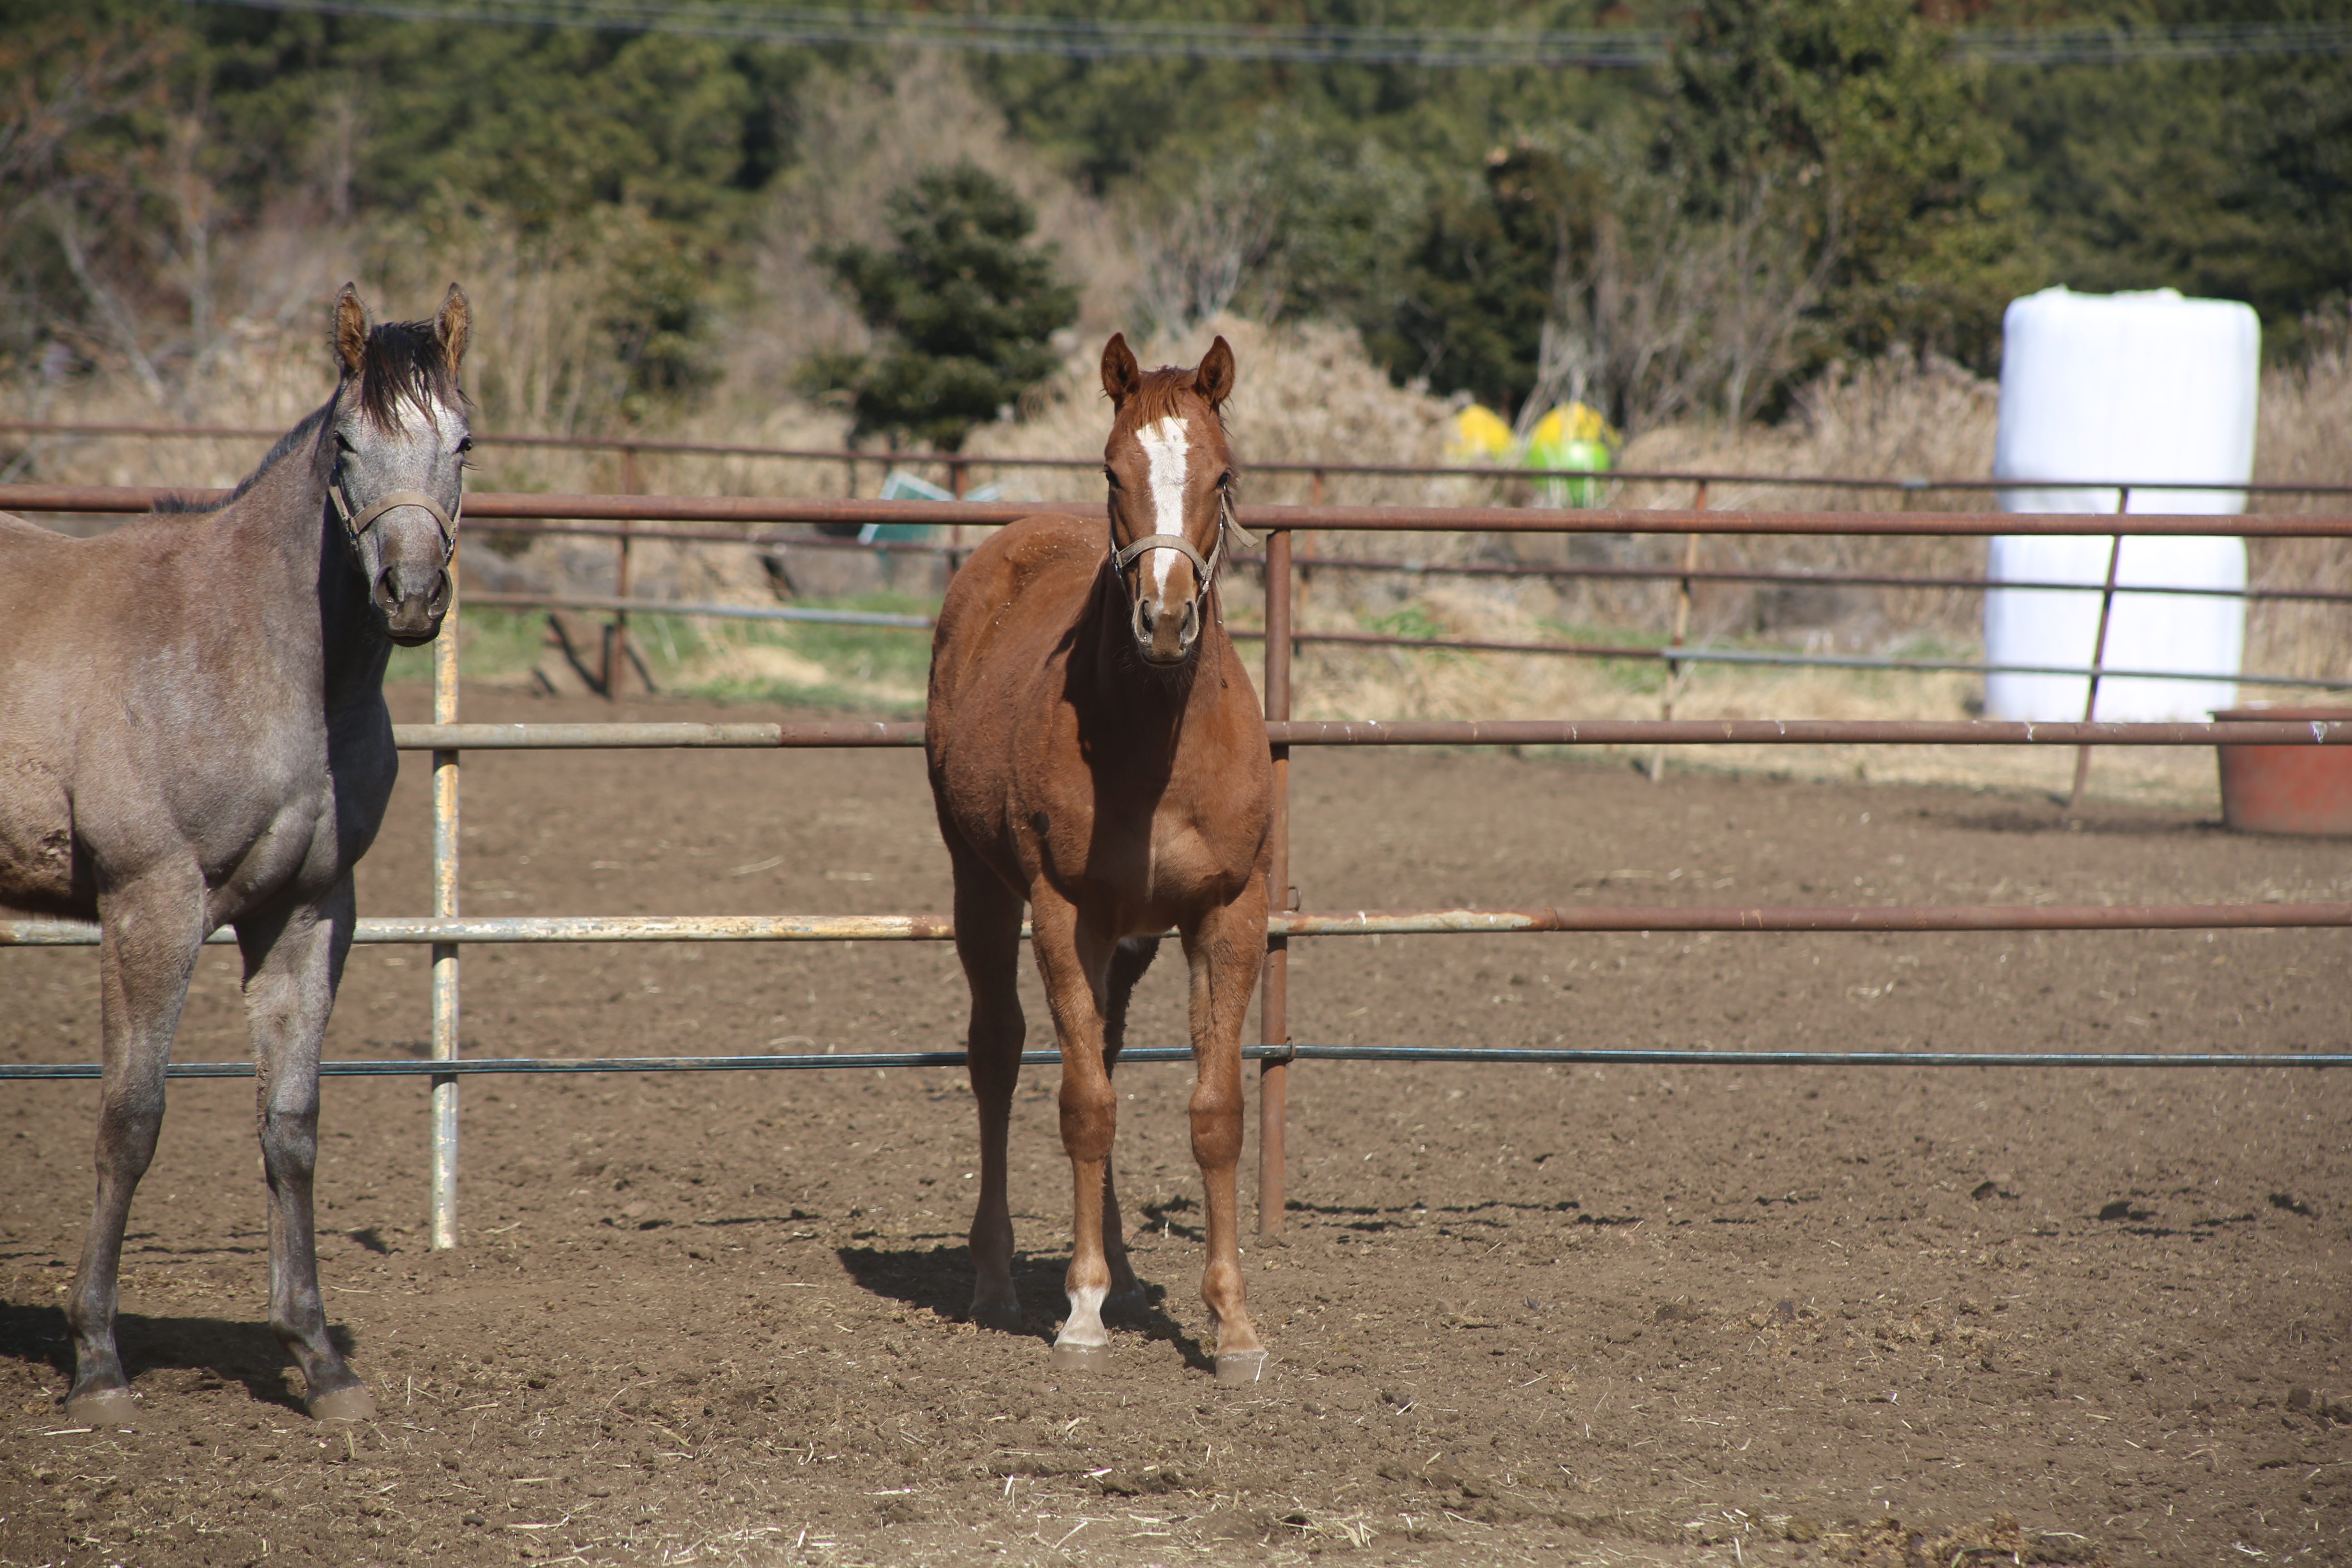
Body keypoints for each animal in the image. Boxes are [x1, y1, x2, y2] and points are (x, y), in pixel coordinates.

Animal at [0, 282, 472, 1420]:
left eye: (464, 443)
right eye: (347, 444)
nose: (411, 593)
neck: (247, 654)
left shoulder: (305, 912)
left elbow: (291, 1125)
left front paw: (318, 1357)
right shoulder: (150, 904)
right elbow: (131, 1120)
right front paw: (97, 1362)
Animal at [927, 334, 1279, 1382]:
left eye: (1222, 474)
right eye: (1113, 472)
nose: (1163, 621)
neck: (1157, 737)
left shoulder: (1227, 912)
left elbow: (1215, 1112)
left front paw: (1233, 1325)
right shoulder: (1063, 909)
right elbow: (1084, 1101)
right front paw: (1079, 1310)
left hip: (1132, 937)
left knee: (1109, 1049)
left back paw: (1120, 1268)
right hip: (981, 887)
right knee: (998, 1054)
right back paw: (997, 1277)